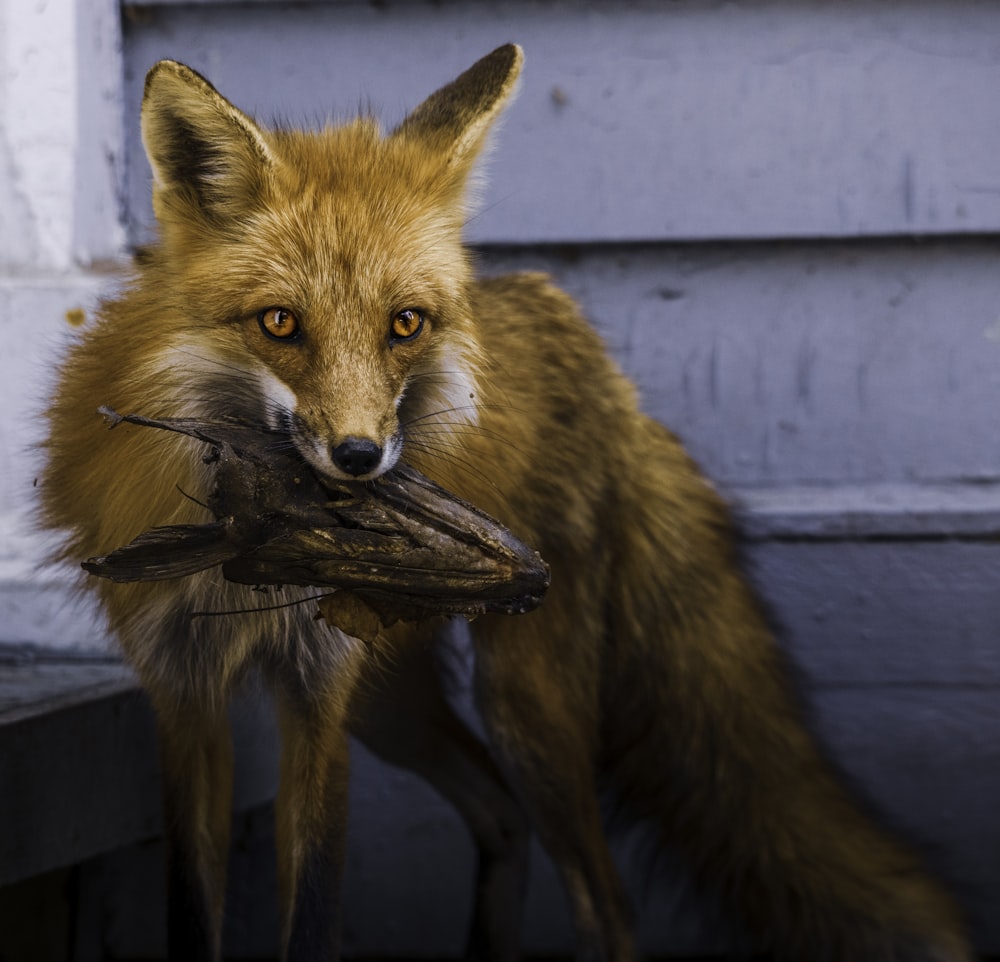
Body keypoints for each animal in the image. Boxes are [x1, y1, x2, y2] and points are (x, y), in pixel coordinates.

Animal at [39, 43, 968, 960]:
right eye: (278, 324)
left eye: (405, 324)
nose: (360, 459)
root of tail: (599, 359)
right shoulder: (182, 696)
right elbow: (191, 915)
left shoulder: (322, 695)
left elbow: (314, 912)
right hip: (399, 706)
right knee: (500, 815)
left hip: (522, 702)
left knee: (604, 901)